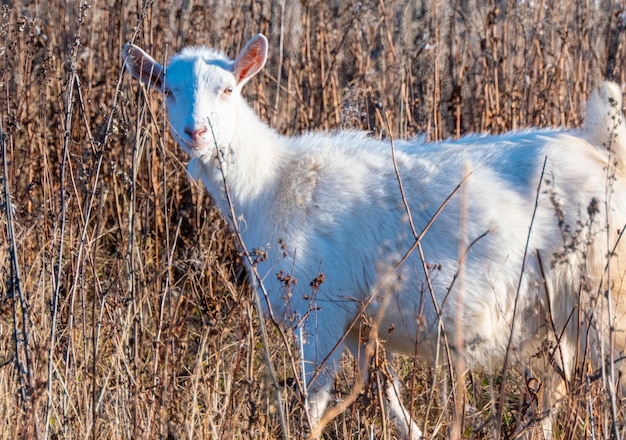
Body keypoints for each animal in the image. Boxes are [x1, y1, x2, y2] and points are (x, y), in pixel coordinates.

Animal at [123, 33, 624, 436]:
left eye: (228, 89)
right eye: (168, 90)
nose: (196, 132)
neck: (272, 182)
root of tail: (603, 152)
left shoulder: (320, 313)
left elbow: (313, 403)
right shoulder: (361, 324)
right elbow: (387, 395)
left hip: (603, 293)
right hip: (554, 312)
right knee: (552, 390)